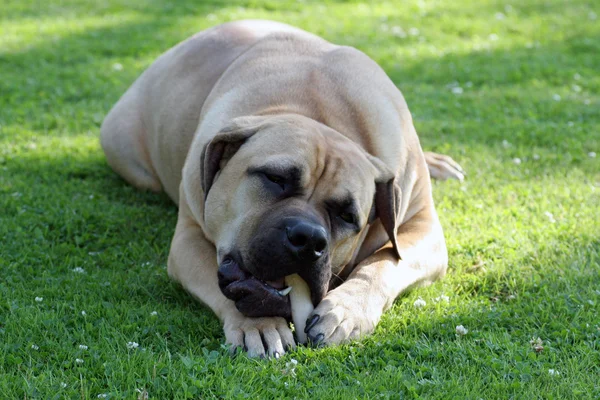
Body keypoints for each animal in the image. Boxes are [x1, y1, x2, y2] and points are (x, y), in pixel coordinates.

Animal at [101, 20, 464, 358]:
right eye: (275, 178)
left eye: (346, 215)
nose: (308, 240)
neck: (321, 113)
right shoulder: (187, 240)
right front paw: (259, 325)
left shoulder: (423, 227)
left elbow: (383, 264)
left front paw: (346, 312)